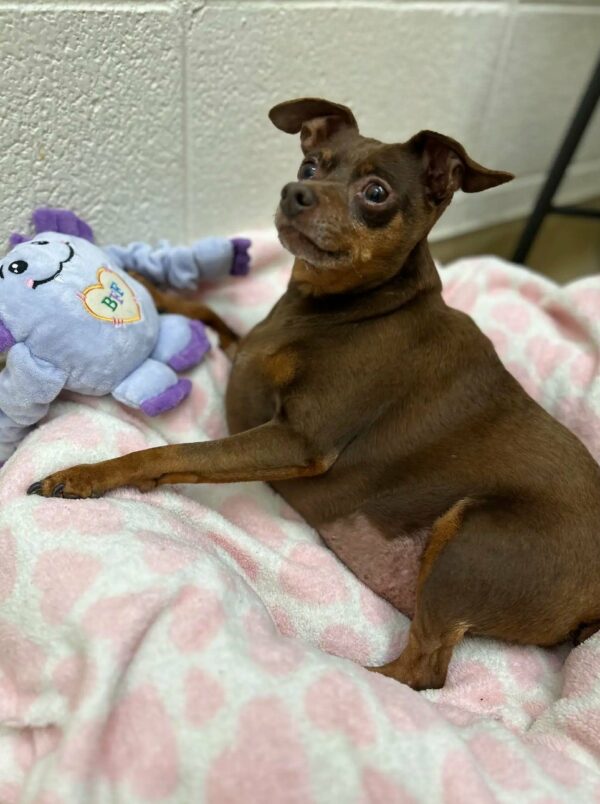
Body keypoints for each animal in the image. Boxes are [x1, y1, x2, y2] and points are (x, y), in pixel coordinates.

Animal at [30, 97, 600, 688]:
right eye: (309, 166)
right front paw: (151, 286)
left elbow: (173, 452)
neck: (342, 307)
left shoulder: (298, 441)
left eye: (377, 192)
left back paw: (324, 666)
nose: (293, 193)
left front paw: (87, 474)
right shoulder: (249, 355)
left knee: (422, 671)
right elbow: (210, 312)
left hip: (471, 543)